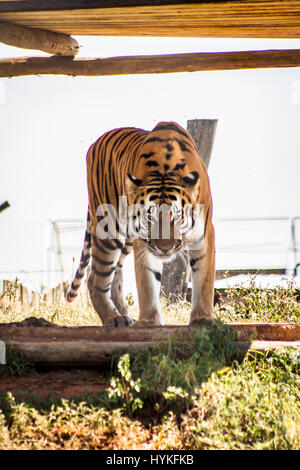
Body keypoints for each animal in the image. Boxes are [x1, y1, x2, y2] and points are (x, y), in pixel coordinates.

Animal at [67, 122, 214, 326]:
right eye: (150, 217)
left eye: (177, 217)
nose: (165, 249)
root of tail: (94, 145)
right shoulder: (144, 244)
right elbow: (147, 281)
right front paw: (149, 322)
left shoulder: (204, 234)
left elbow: (204, 280)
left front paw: (203, 319)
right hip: (110, 230)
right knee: (95, 279)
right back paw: (114, 318)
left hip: (126, 239)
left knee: (115, 271)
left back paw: (123, 312)